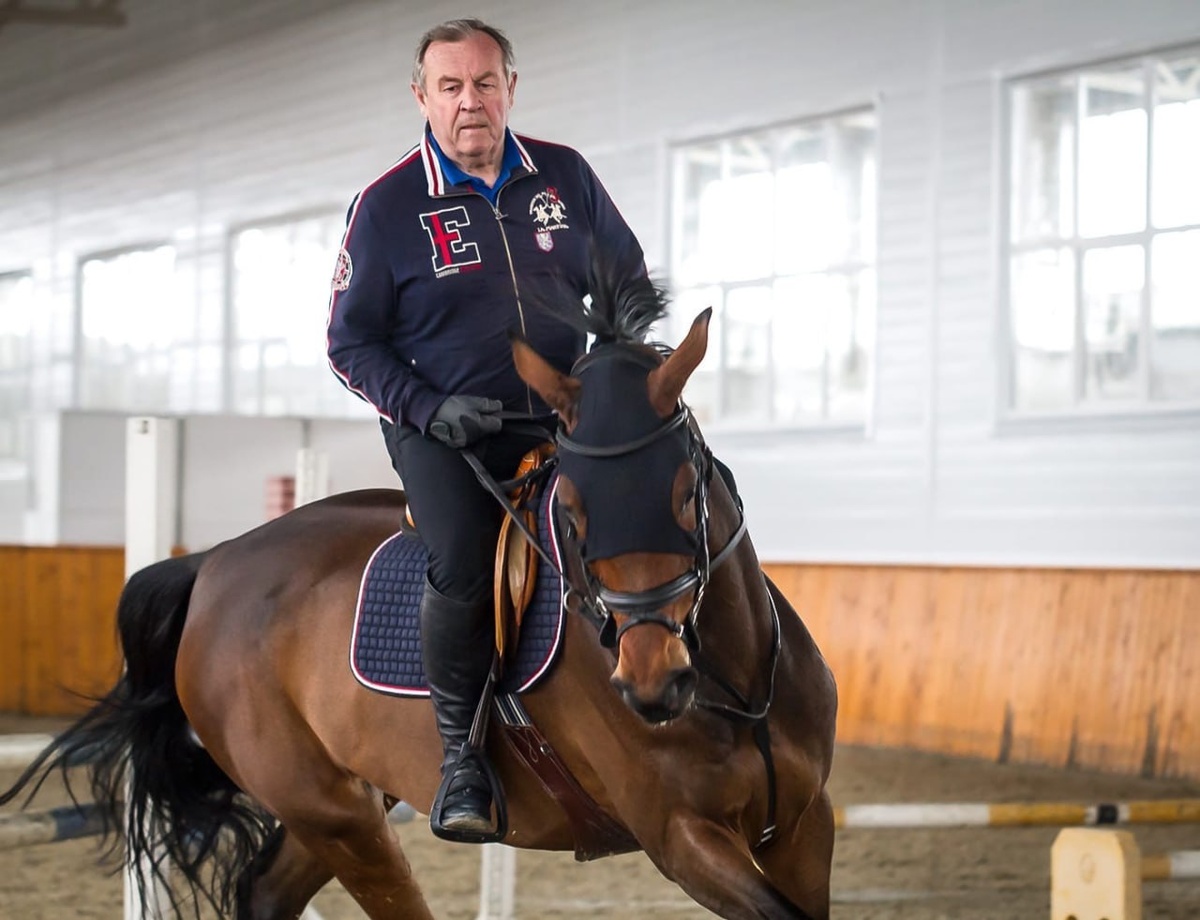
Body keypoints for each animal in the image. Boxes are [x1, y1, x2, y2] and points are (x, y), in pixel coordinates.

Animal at [1, 264, 837, 919]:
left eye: (684, 493)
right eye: (570, 512)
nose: (651, 686)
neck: (734, 684)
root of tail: (213, 564)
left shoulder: (804, 825)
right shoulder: (680, 838)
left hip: (345, 805)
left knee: (267, 894)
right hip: (336, 816)